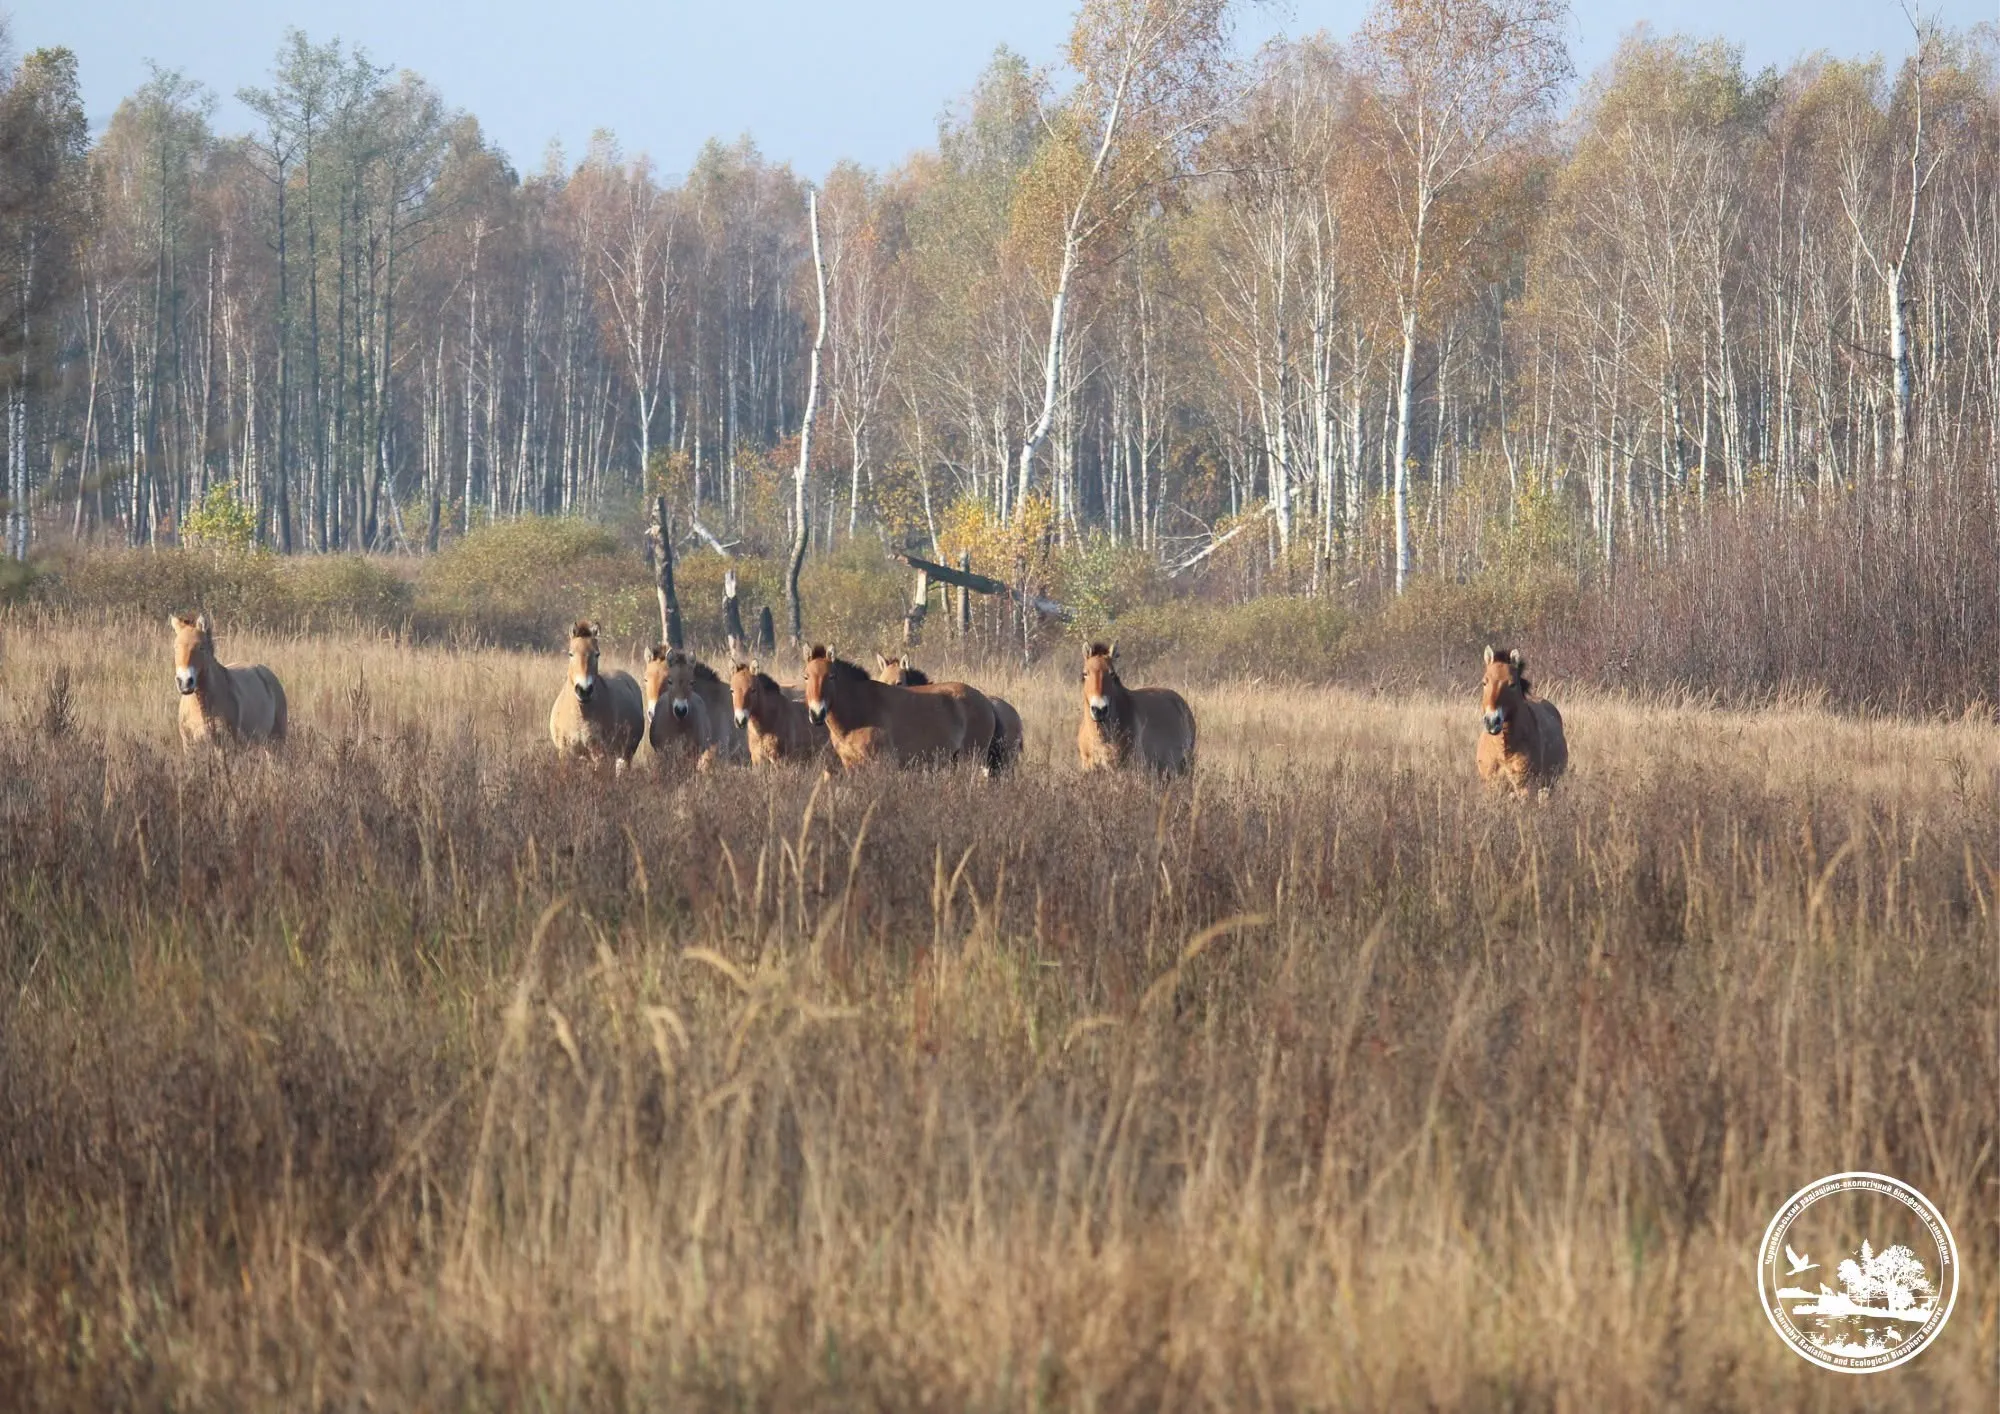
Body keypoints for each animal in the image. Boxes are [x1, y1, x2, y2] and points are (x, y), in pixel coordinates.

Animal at [548, 621, 644, 769]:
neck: (580, 715)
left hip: (626, 754)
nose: (584, 690)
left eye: (597, 654)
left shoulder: (600, 756)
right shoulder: (565, 754)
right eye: (570, 654)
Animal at [803, 645, 997, 771]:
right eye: (806, 676)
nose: (817, 713)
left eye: (831, 676)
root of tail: (986, 701)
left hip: (970, 759)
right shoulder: (850, 763)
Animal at [1477, 645, 1567, 794]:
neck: (1504, 751)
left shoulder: (1526, 789)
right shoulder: (1492, 788)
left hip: (1548, 786)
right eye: (1484, 682)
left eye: (1512, 684)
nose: (1492, 721)